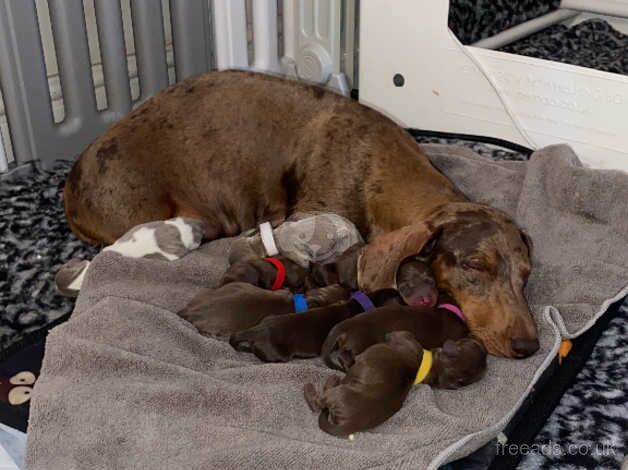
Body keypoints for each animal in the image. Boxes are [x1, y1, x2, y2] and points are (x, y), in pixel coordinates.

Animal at [302, 330, 486, 436]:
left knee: (317, 403)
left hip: (337, 394)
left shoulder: (400, 336)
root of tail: (349, 425)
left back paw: (321, 383)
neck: (428, 368)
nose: (475, 335)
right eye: (476, 343)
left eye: (470, 342)